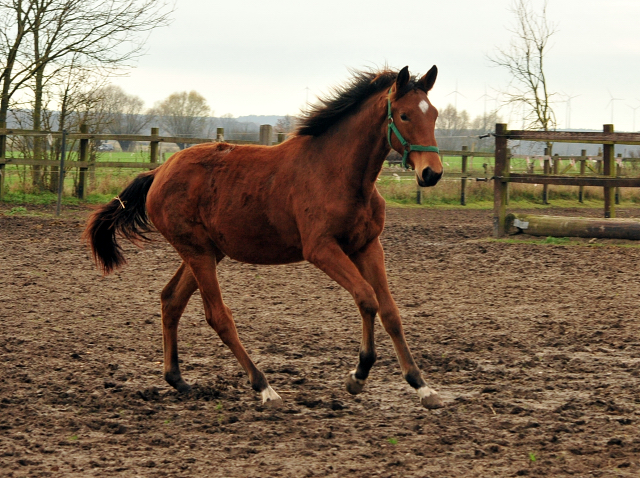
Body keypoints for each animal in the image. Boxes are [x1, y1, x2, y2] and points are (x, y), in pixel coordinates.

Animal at [84, 65, 444, 408]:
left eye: (435, 115)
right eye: (404, 115)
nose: (432, 173)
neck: (337, 173)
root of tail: (159, 171)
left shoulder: (368, 246)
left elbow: (390, 312)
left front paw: (422, 386)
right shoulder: (321, 249)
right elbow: (367, 298)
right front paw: (358, 375)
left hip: (207, 251)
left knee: (171, 300)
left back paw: (178, 380)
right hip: (198, 252)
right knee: (218, 315)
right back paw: (264, 387)